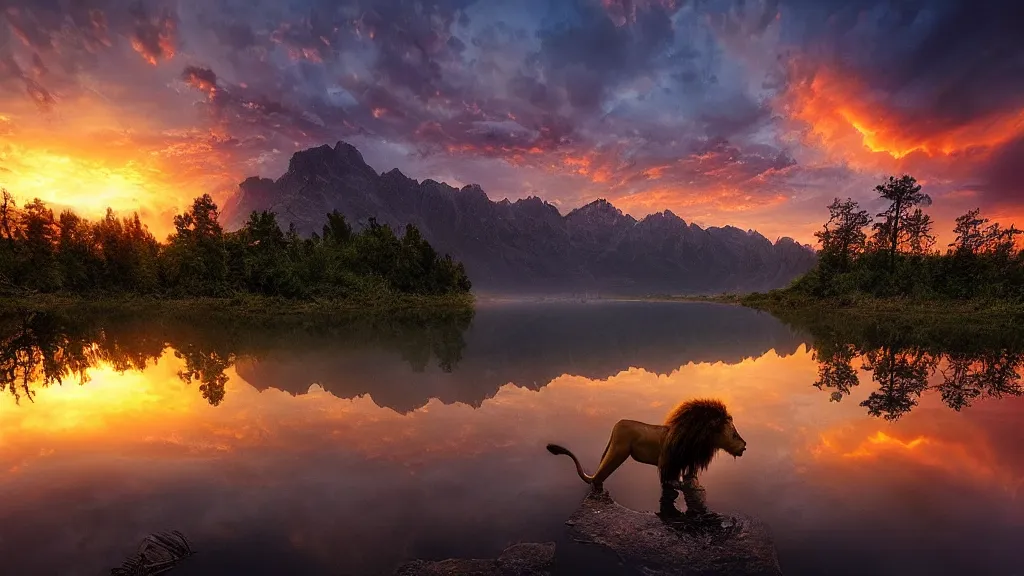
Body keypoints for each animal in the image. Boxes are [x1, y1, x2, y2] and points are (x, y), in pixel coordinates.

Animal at [544, 397, 745, 512]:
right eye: (734, 435)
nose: (745, 445)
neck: (695, 439)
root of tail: (616, 425)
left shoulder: (687, 463)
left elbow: (689, 478)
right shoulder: (668, 463)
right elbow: (668, 483)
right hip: (619, 449)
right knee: (598, 477)